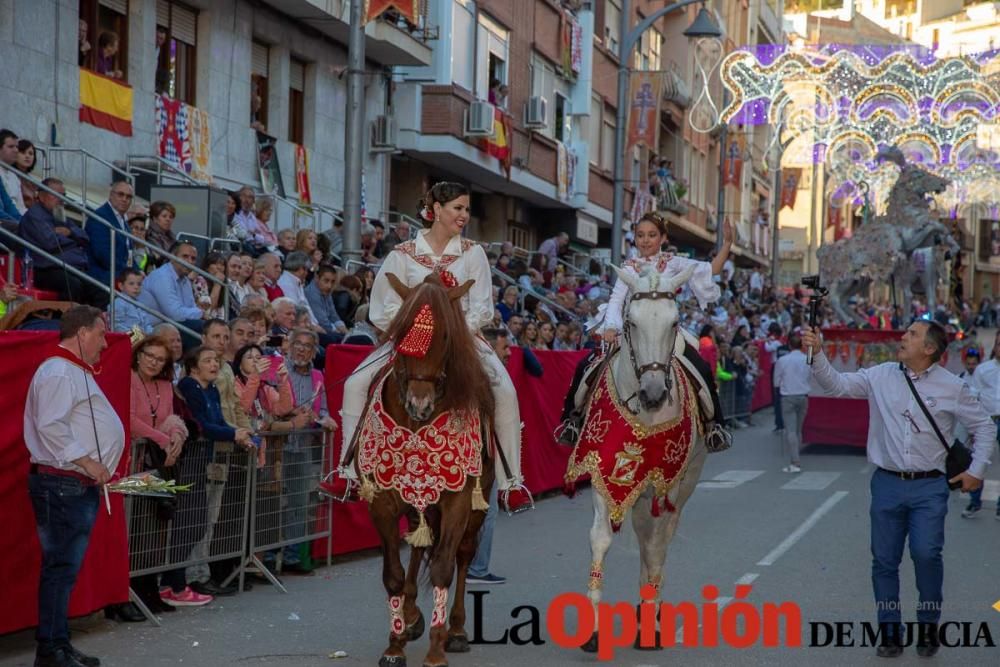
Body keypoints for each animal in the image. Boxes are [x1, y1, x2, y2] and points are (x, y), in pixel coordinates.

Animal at [362, 272, 498, 667]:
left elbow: (442, 568)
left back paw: (456, 630)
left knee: (462, 554)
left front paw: (436, 650)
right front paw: (394, 645)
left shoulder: (457, 500)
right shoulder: (383, 501)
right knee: (419, 544)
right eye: (401, 332)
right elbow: (393, 574)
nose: (419, 403)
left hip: (475, 502)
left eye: (447, 337)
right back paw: (410, 618)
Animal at [568, 266, 708, 652]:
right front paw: (592, 630)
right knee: (645, 538)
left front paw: (652, 624)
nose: (654, 393)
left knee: (657, 541)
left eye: (675, 322)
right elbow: (601, 539)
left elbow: (657, 547)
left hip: (682, 486)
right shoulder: (602, 474)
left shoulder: (667, 486)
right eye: (630, 321)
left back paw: (650, 611)